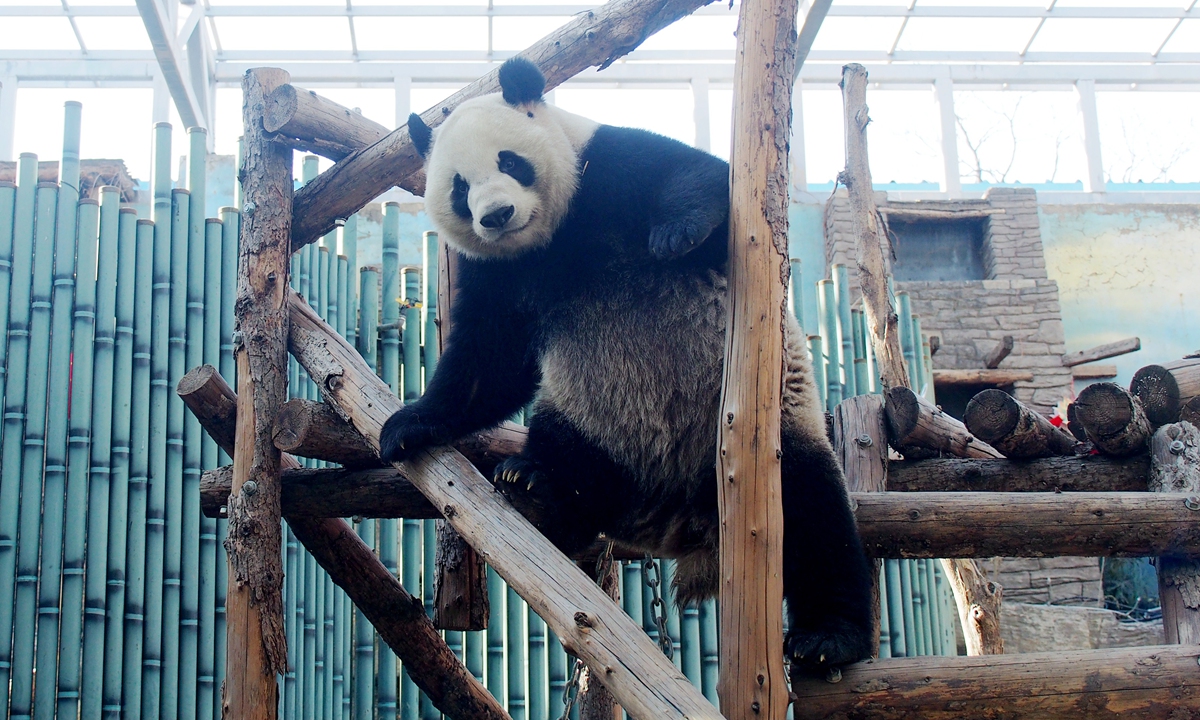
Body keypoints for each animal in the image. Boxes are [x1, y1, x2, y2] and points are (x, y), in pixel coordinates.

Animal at [376, 56, 873, 676]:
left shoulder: (605, 169)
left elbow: (704, 181)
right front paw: (410, 423)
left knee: (813, 514)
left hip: (771, 434)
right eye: (460, 188)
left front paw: (675, 233)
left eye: (509, 162)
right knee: (575, 455)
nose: (496, 214)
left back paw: (829, 637)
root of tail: (675, 521)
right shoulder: (502, 273)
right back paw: (536, 482)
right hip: (596, 423)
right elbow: (489, 360)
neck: (550, 238)